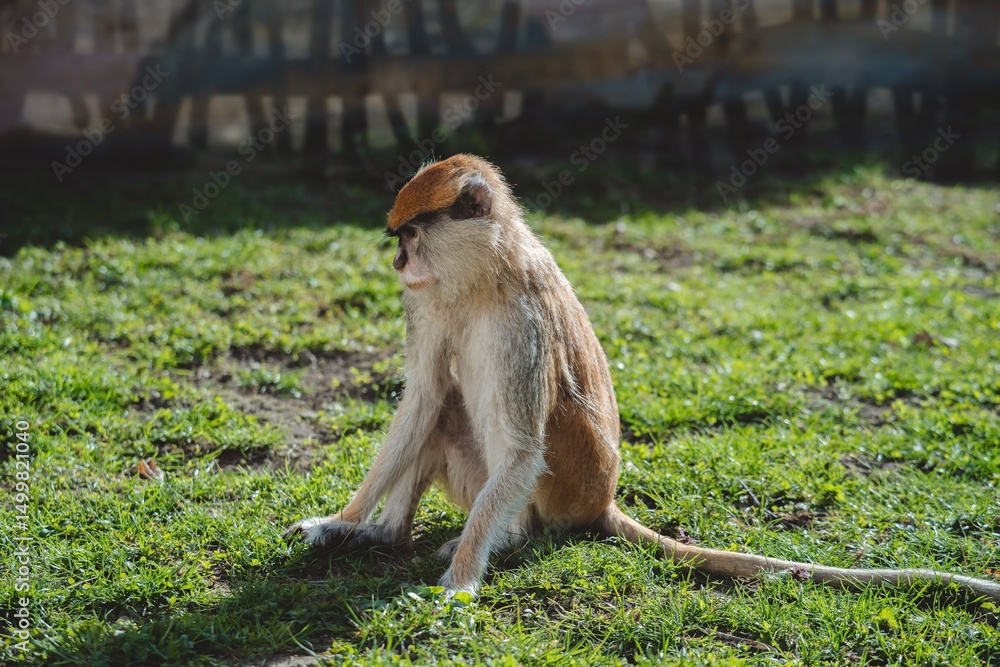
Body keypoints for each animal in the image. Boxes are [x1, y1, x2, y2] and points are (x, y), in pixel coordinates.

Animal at [286, 154, 1000, 605]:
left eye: (409, 234)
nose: (398, 261)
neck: (484, 271)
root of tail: (601, 499)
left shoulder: (521, 323)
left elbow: (520, 446)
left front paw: (461, 582)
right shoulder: (428, 303)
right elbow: (423, 401)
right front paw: (342, 521)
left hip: (562, 487)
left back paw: (503, 539)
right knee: (442, 409)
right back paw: (381, 536)